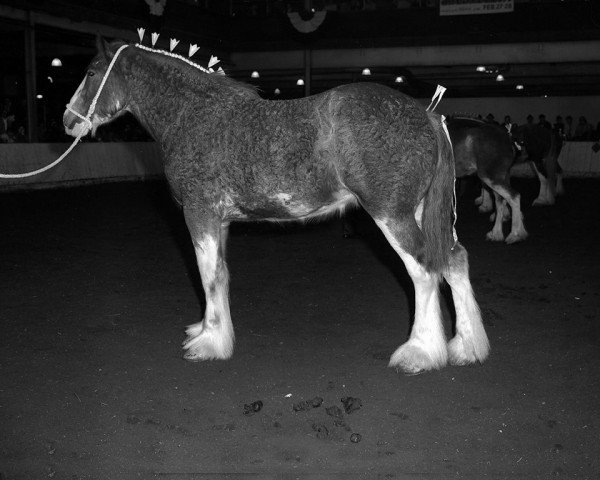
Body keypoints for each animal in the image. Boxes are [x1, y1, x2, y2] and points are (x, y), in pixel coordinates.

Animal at [63, 38, 490, 376]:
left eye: (91, 72)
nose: (68, 120)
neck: (194, 116)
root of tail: (427, 115)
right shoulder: (219, 221)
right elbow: (219, 274)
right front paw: (209, 331)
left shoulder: (199, 214)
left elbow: (208, 276)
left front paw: (209, 344)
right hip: (419, 212)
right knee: (454, 260)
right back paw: (466, 347)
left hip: (392, 214)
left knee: (423, 270)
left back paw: (420, 353)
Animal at [446, 116, 524, 244]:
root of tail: (508, 138)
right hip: (499, 176)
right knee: (500, 200)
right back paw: (496, 232)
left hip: (491, 177)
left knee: (513, 196)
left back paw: (515, 234)